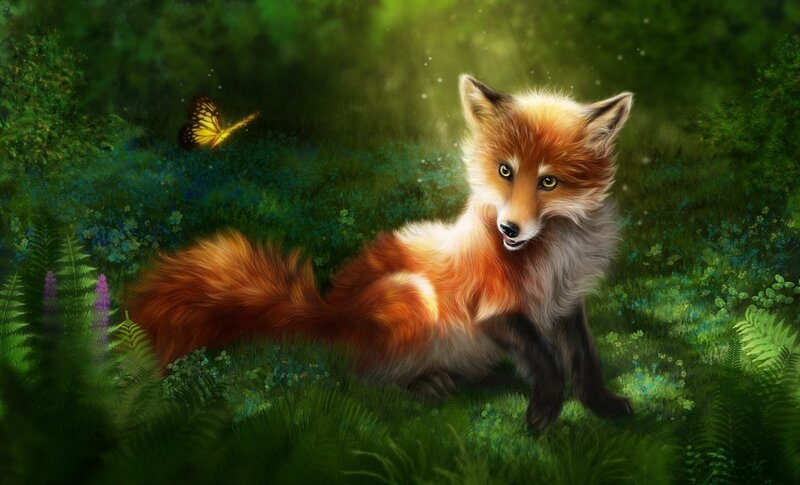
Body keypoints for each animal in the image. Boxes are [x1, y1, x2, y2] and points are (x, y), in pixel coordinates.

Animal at [127, 75, 634, 430]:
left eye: (548, 181)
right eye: (505, 171)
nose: (508, 228)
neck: (551, 256)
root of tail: (329, 311)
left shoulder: (565, 304)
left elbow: (584, 362)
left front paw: (604, 408)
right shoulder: (493, 307)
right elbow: (548, 363)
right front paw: (544, 413)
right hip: (414, 299)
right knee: (358, 384)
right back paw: (423, 386)